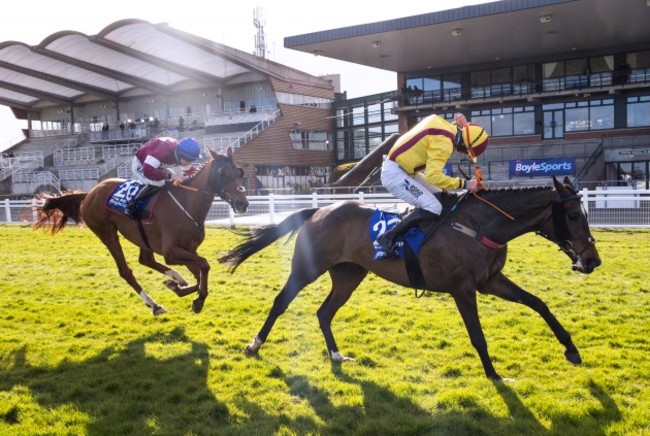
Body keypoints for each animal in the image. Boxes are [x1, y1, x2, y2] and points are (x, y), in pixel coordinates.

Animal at [35, 147, 248, 316]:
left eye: (238, 172)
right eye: (223, 172)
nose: (242, 204)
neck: (186, 203)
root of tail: (89, 193)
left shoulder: (189, 249)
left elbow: (199, 273)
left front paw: (179, 287)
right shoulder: (171, 252)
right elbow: (204, 265)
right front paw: (197, 299)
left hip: (142, 236)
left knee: (146, 259)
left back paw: (175, 278)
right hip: (107, 233)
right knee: (126, 271)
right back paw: (154, 304)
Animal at [220, 175, 600, 380]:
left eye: (584, 212)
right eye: (571, 214)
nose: (592, 260)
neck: (481, 226)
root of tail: (319, 210)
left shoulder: (490, 281)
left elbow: (539, 303)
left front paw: (571, 349)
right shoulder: (463, 288)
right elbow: (478, 336)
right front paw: (494, 375)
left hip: (350, 274)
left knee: (324, 312)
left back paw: (337, 356)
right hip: (306, 270)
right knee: (281, 302)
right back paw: (254, 344)